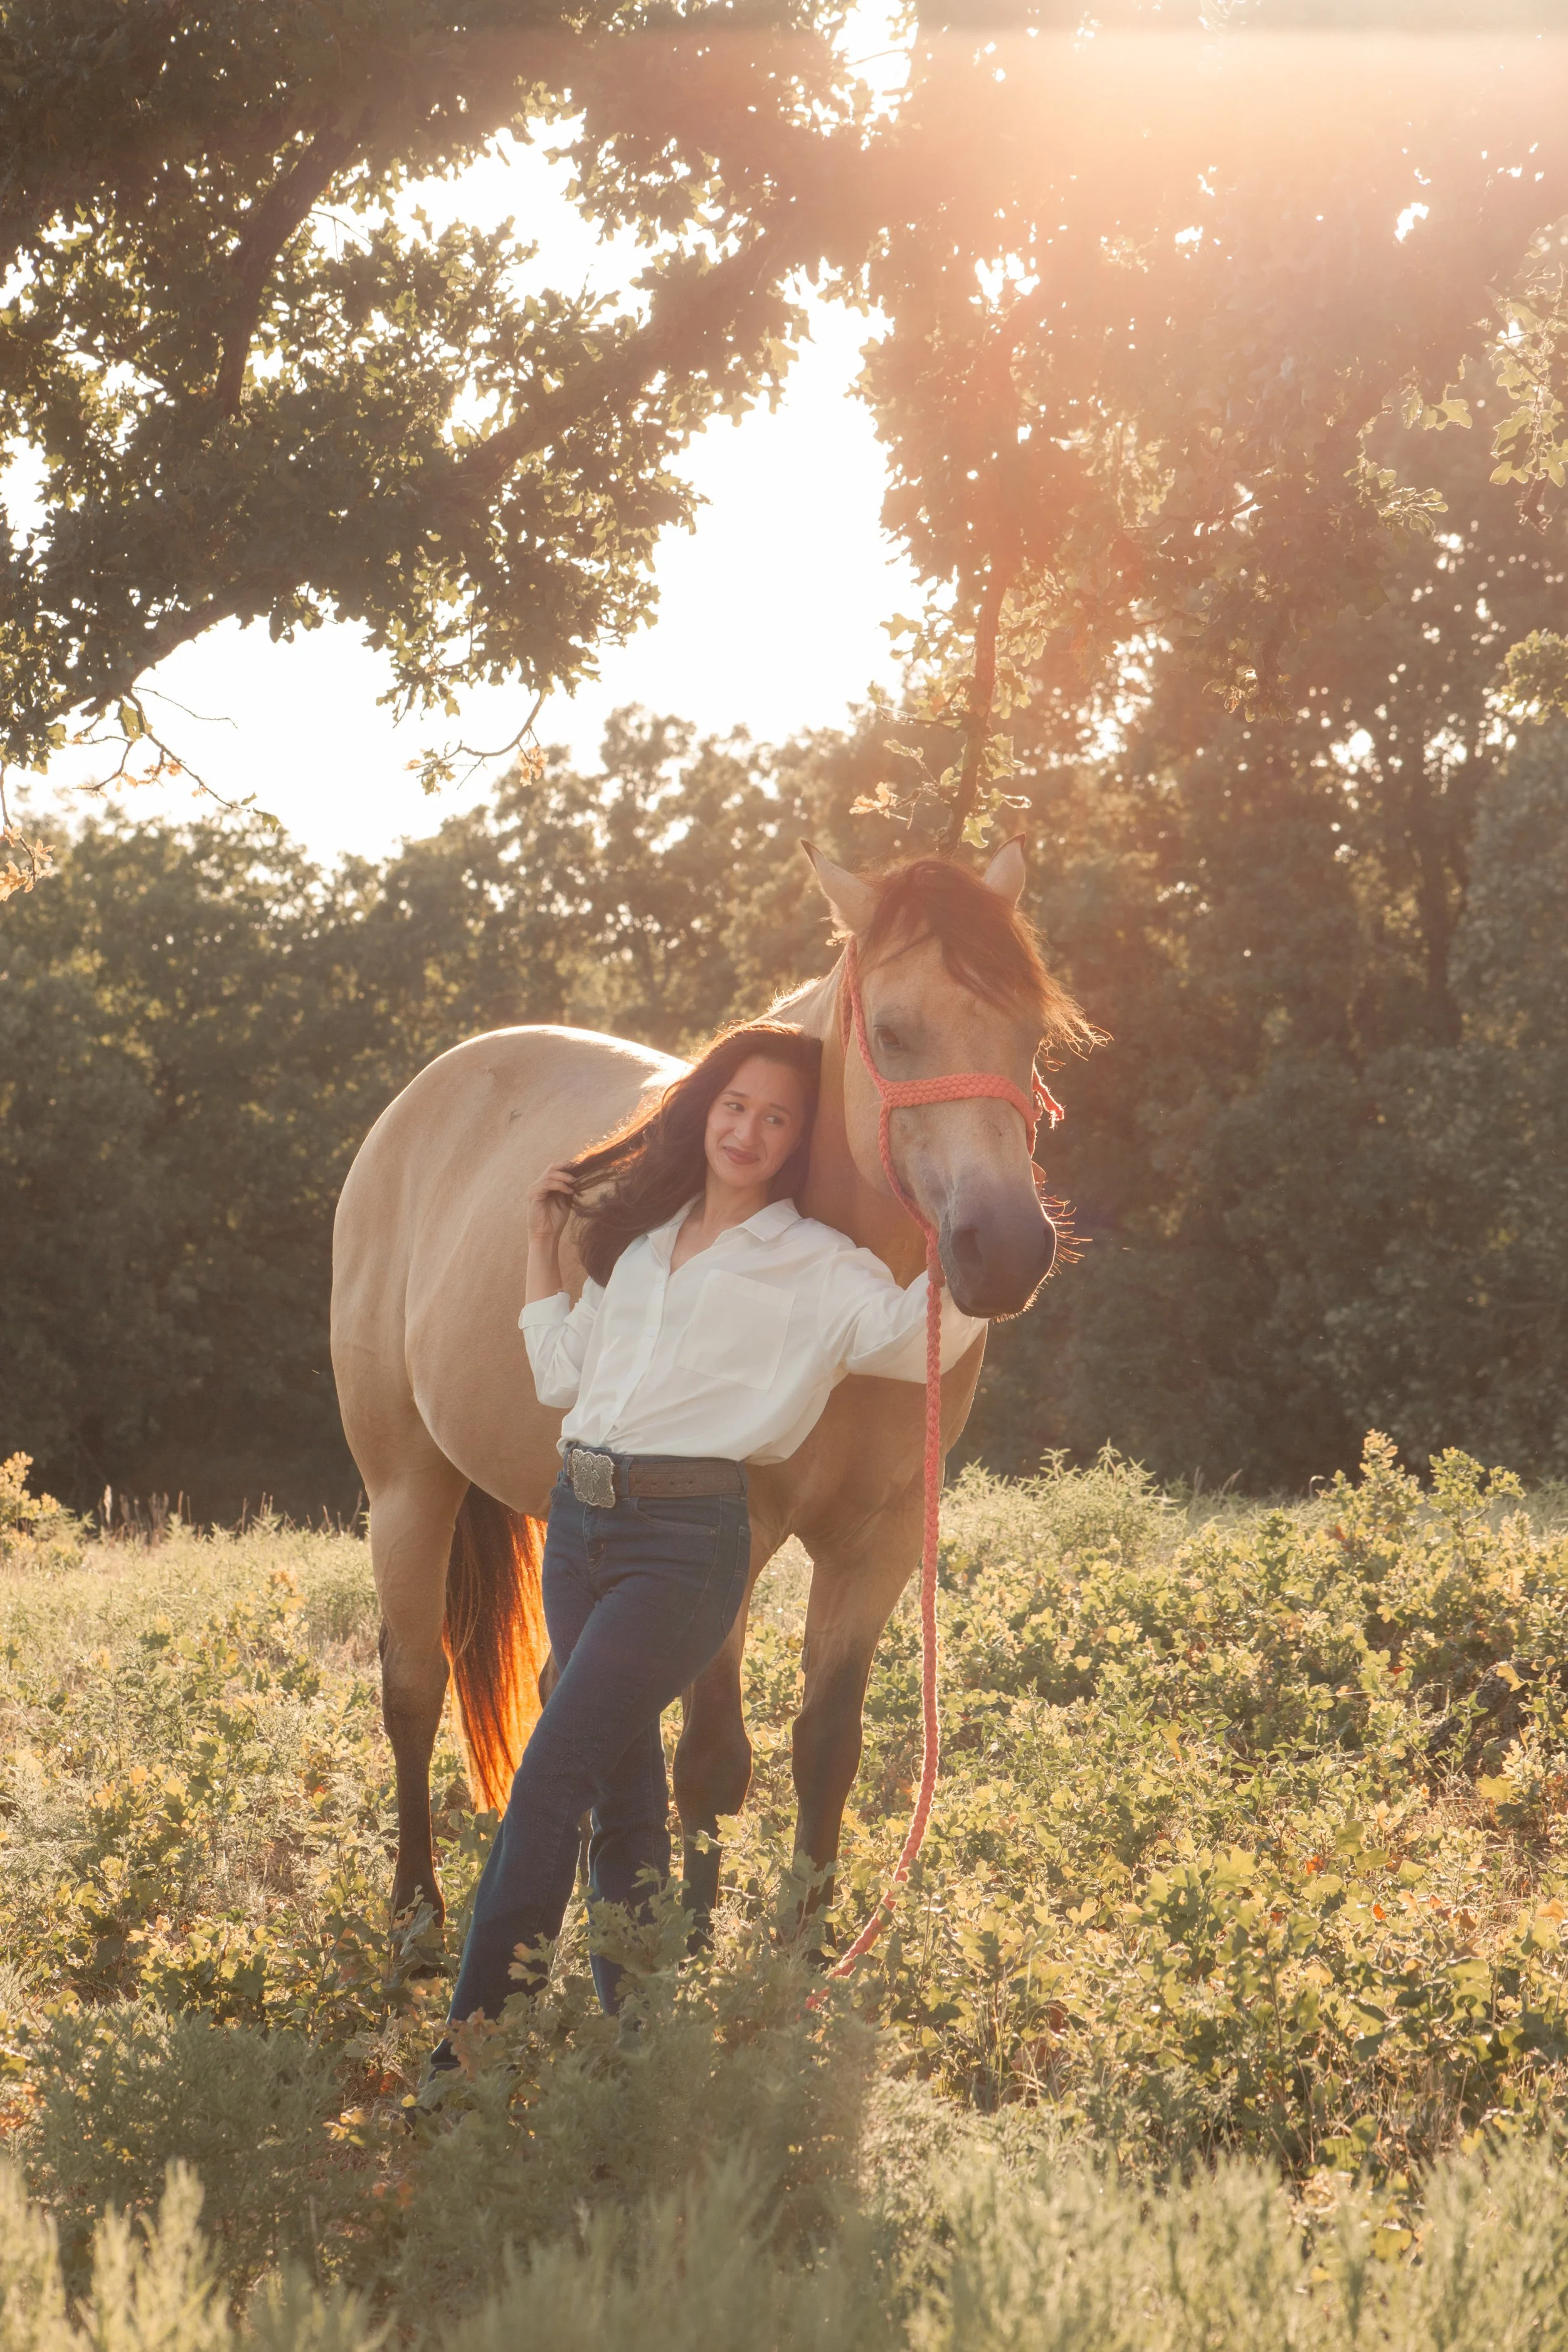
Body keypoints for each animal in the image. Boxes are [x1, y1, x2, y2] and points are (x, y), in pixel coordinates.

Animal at [330, 838, 1093, 1944]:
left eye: (1035, 1037)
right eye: (895, 1031)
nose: (1005, 1250)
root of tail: (420, 1100)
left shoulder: (880, 1541)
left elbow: (826, 1743)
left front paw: (801, 1948)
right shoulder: (732, 1533)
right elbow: (713, 1759)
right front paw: (682, 1949)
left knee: (566, 1689)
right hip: (407, 1486)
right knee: (413, 1686)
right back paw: (420, 1914)